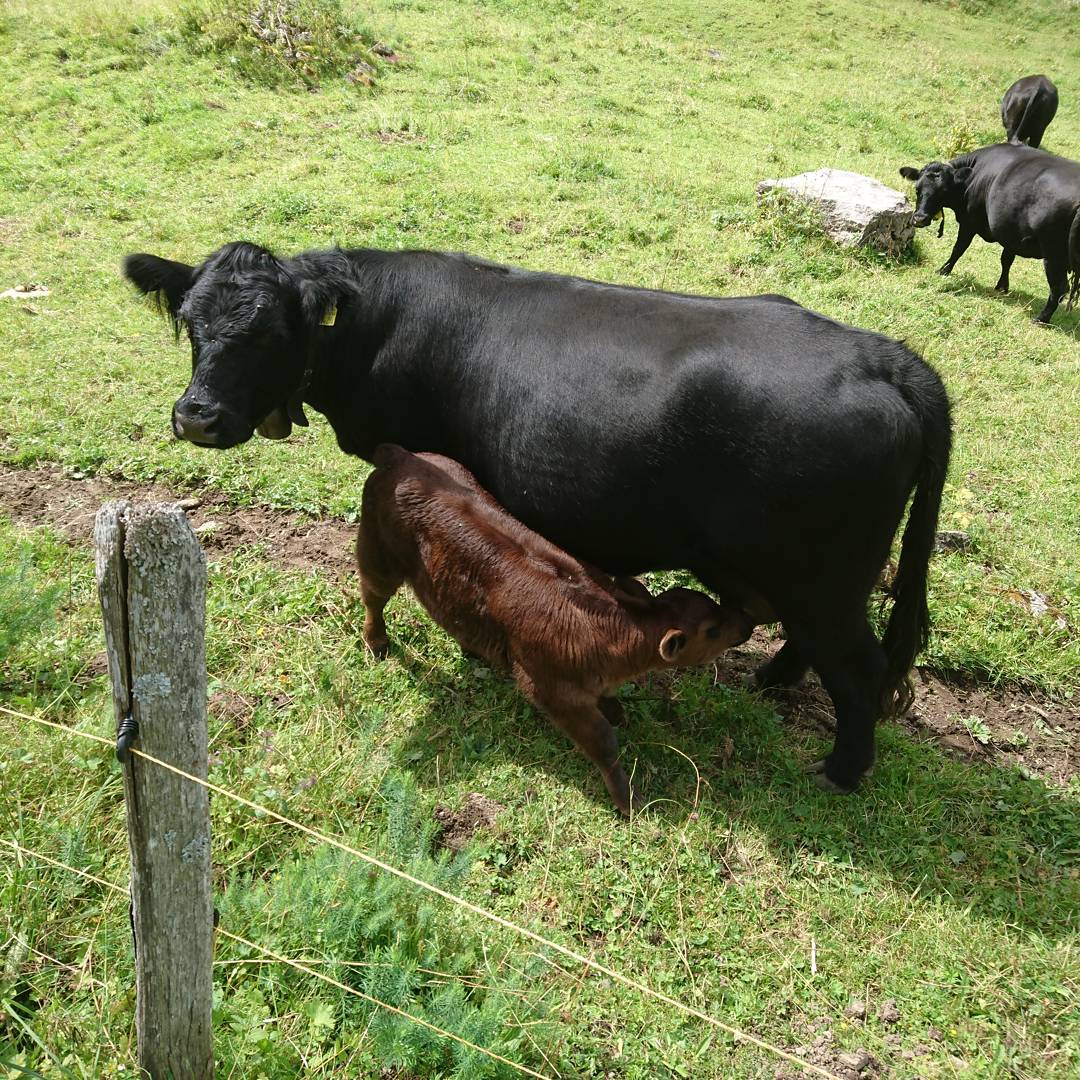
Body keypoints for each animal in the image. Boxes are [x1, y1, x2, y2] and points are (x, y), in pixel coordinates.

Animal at [357, 443, 754, 815]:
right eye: (711, 630)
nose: (747, 621)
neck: (614, 635)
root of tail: (399, 455)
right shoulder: (553, 690)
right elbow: (603, 743)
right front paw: (628, 799)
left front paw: (617, 711)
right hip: (377, 553)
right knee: (373, 597)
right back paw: (377, 641)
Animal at [899, 144, 1080, 324]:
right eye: (917, 189)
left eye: (943, 191)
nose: (919, 219)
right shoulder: (1010, 232)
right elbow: (1006, 260)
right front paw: (1002, 287)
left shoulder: (969, 222)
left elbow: (958, 249)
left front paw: (944, 270)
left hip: (1053, 254)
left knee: (1059, 287)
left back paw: (1041, 318)